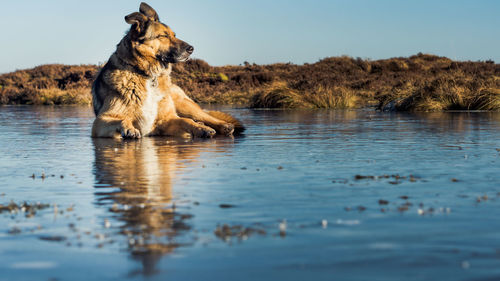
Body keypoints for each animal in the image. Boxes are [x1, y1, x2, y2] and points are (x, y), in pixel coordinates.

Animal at [93, 1, 245, 138]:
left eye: (174, 35)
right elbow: (123, 119)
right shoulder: (100, 121)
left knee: (204, 116)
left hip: (184, 104)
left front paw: (202, 128)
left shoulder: (167, 119)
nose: (191, 48)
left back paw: (221, 125)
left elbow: (186, 121)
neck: (148, 75)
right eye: (163, 36)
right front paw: (129, 129)